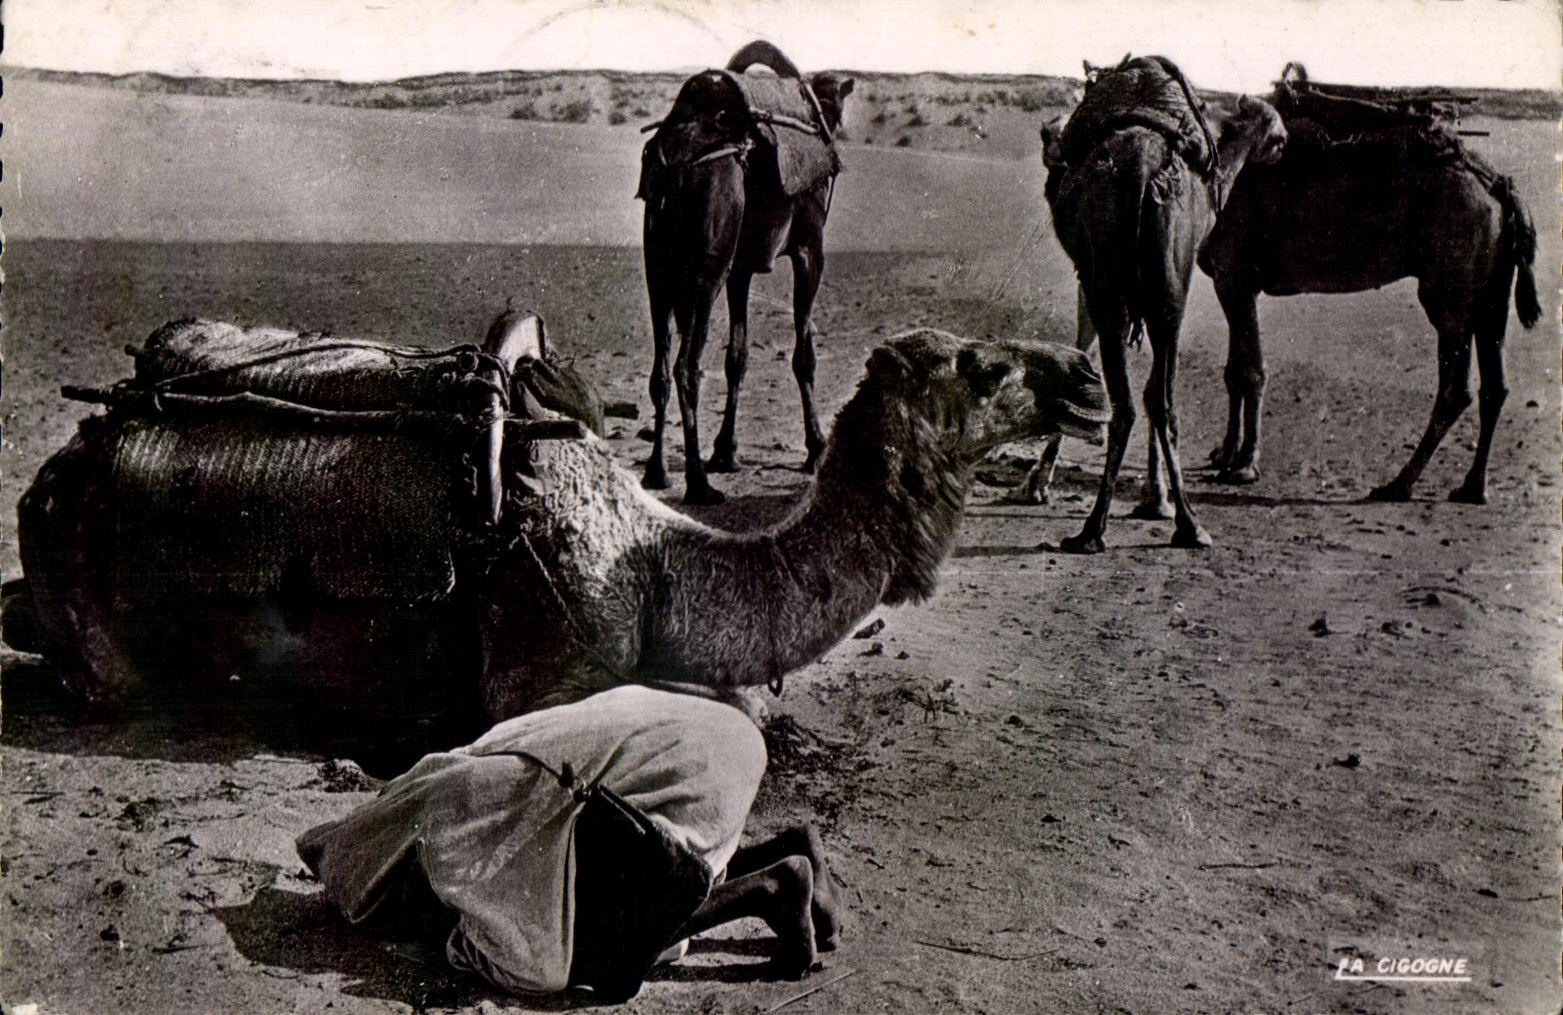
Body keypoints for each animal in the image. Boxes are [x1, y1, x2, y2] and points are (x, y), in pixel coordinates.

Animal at [5, 325, 1108, 729]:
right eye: (983, 367)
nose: (1089, 377)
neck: (658, 563)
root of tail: (65, 463)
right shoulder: (545, 670)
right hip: (90, 607)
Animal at [639, 41, 854, 504]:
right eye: (836, 108)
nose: (837, 145)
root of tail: (677, 162)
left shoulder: (740, 271)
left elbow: (736, 356)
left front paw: (726, 450)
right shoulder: (809, 250)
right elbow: (804, 355)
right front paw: (816, 448)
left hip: (658, 267)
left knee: (661, 367)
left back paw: (657, 472)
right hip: (706, 267)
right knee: (686, 367)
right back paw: (698, 483)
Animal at [1043, 56, 1287, 552]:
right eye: (1273, 126)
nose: (1286, 140)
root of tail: (1139, 167)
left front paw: (1154, 500)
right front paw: (1157, 501)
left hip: (1120, 281)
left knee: (1134, 400)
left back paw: (1096, 528)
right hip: (1156, 282)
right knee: (1155, 397)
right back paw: (1184, 524)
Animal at [1199, 69, 1541, 502]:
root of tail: (1499, 185)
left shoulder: (1235, 274)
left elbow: (1252, 371)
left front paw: (1244, 465)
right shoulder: (1233, 281)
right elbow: (1233, 370)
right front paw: (1223, 455)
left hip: (1450, 289)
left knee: (1456, 388)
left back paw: (1398, 484)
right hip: (1491, 292)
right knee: (1494, 386)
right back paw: (1471, 487)